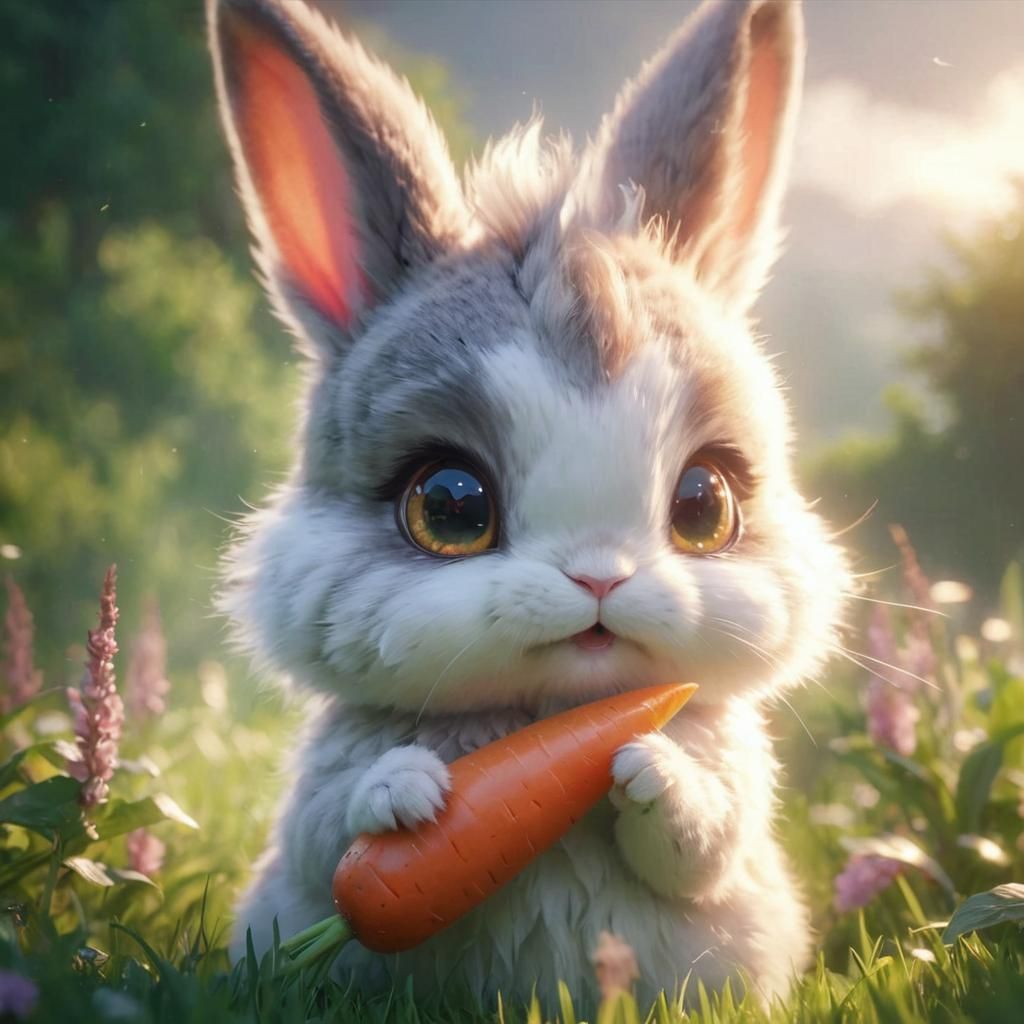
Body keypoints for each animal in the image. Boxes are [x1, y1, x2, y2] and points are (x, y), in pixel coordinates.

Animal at [208, 0, 848, 1009]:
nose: (600, 579)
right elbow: (330, 822)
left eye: (703, 504)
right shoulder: (317, 795)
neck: (548, 719)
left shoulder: (739, 791)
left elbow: (707, 839)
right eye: (450, 505)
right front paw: (407, 794)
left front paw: (651, 770)